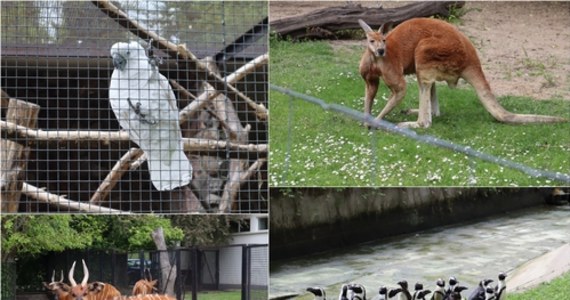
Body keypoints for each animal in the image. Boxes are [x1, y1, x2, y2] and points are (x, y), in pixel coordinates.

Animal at [358, 17, 560, 127]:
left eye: (384, 40)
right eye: (371, 41)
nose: (381, 51)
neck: (376, 61)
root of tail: (472, 58)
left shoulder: (393, 74)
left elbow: (400, 91)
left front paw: (373, 122)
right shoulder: (368, 77)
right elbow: (370, 92)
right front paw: (365, 118)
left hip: (427, 52)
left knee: (426, 120)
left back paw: (410, 123)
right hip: (429, 62)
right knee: (433, 103)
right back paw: (412, 112)